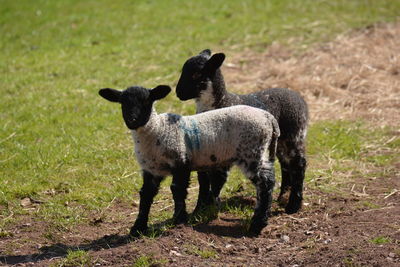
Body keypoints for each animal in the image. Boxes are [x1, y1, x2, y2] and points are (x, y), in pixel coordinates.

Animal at [98, 85, 280, 237]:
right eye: (123, 103)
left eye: (146, 101)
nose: (132, 120)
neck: (158, 130)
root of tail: (269, 118)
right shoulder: (151, 169)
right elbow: (146, 195)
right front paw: (138, 228)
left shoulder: (181, 162)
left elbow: (177, 190)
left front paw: (179, 220)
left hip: (251, 152)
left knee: (265, 184)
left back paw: (257, 224)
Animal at [176, 49, 310, 215]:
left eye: (197, 74)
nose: (178, 93)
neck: (222, 102)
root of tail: (299, 98)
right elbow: (204, 181)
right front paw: (198, 210)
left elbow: (217, 180)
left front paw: (210, 208)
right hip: (280, 140)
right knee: (286, 165)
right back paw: (282, 197)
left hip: (294, 134)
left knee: (299, 165)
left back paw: (293, 205)